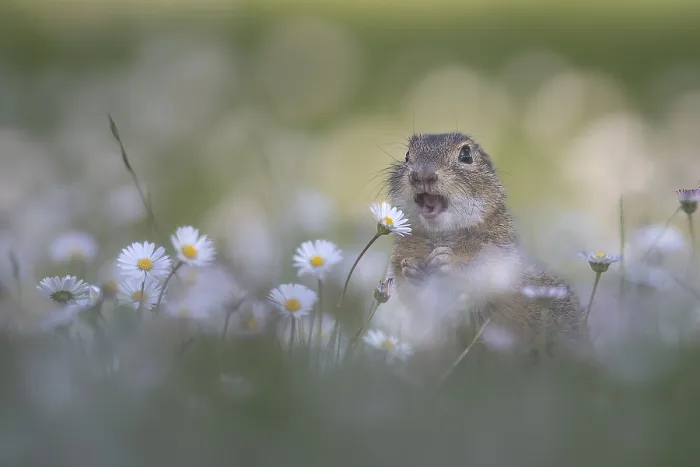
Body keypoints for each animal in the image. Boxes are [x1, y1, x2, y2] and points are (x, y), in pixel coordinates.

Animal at [378, 132, 583, 358]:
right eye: (407, 155)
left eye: (466, 154)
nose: (422, 175)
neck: (440, 234)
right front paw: (411, 268)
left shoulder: (500, 255)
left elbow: (486, 278)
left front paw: (447, 260)